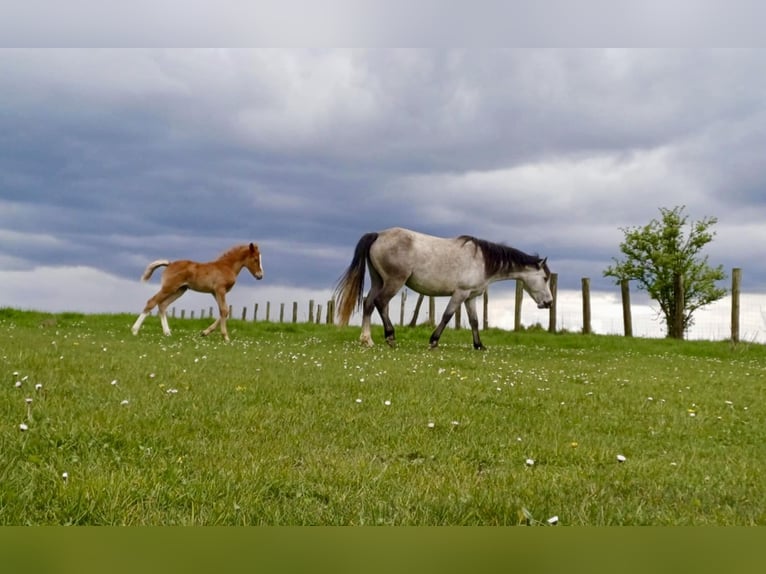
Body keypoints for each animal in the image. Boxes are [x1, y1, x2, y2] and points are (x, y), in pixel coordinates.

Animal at [131, 243, 263, 342]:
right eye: (255, 259)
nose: (260, 276)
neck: (226, 266)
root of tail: (170, 264)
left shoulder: (215, 292)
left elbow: (225, 311)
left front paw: (205, 332)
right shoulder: (220, 290)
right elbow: (224, 310)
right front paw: (225, 337)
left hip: (180, 290)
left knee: (162, 305)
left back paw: (167, 333)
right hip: (169, 288)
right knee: (152, 302)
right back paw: (135, 330)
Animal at [334, 227, 552, 350]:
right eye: (544, 278)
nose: (549, 303)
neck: (482, 261)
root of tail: (378, 235)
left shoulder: (470, 297)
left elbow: (474, 321)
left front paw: (479, 345)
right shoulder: (460, 294)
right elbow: (447, 316)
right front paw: (433, 341)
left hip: (378, 281)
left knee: (368, 303)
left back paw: (367, 340)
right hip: (394, 282)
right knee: (380, 303)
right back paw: (390, 337)